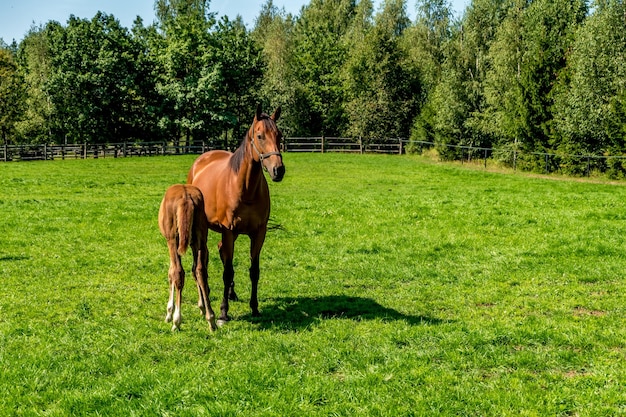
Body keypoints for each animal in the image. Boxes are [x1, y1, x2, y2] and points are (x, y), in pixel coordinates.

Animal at [158, 184, 217, 330]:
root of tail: (186, 197)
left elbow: (171, 274)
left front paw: (169, 313)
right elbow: (195, 270)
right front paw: (202, 307)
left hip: (173, 239)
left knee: (178, 272)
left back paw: (176, 321)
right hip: (200, 238)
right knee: (200, 271)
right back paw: (211, 320)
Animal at [185, 103, 282, 322]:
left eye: (279, 135)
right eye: (260, 136)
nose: (278, 170)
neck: (245, 189)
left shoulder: (258, 233)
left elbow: (254, 270)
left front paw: (254, 307)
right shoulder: (229, 231)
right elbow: (227, 271)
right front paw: (223, 312)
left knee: (220, 252)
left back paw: (231, 292)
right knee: (200, 265)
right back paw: (204, 300)